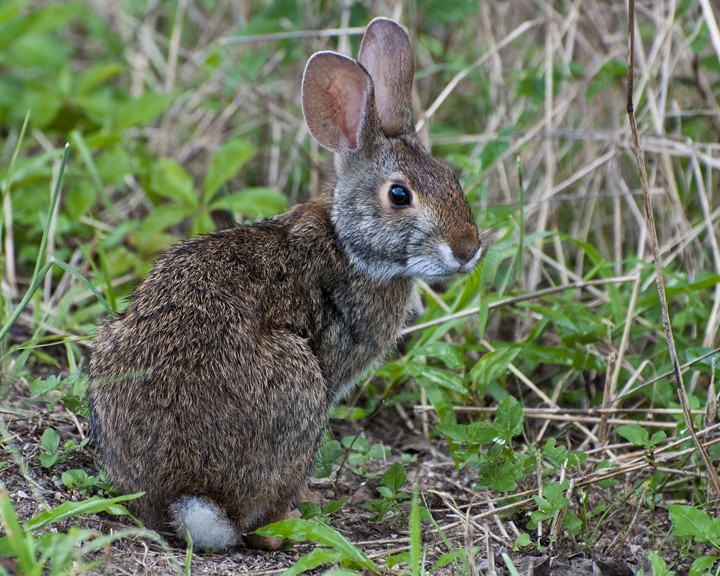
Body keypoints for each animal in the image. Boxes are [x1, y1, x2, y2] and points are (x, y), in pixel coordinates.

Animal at [88, 17, 484, 551]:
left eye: (451, 178)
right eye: (400, 195)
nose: (468, 250)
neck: (348, 243)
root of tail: (186, 495)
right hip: (301, 385)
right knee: (261, 517)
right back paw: (291, 522)